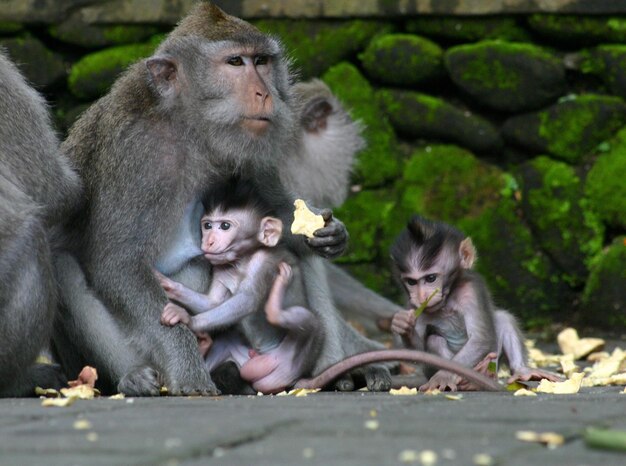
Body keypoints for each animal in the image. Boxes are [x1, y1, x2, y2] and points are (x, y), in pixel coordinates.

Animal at [156, 179, 322, 394]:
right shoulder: (221, 267)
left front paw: (187, 319)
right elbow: (213, 303)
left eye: (225, 226)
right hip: (245, 360)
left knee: (308, 320)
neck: (242, 261)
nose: (208, 241)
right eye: (207, 225)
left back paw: (277, 303)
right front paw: (168, 285)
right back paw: (205, 346)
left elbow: (248, 300)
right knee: (225, 343)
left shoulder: (263, 262)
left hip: (293, 360)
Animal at [388, 217, 560, 392]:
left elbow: (480, 339)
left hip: (493, 362)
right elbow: (417, 352)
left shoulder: (471, 290)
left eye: (431, 278)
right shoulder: (413, 305)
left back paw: (516, 371)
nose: (422, 297)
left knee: (503, 318)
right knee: (435, 340)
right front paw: (403, 325)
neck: (448, 299)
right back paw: (468, 381)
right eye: (411, 282)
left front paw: (444, 375)